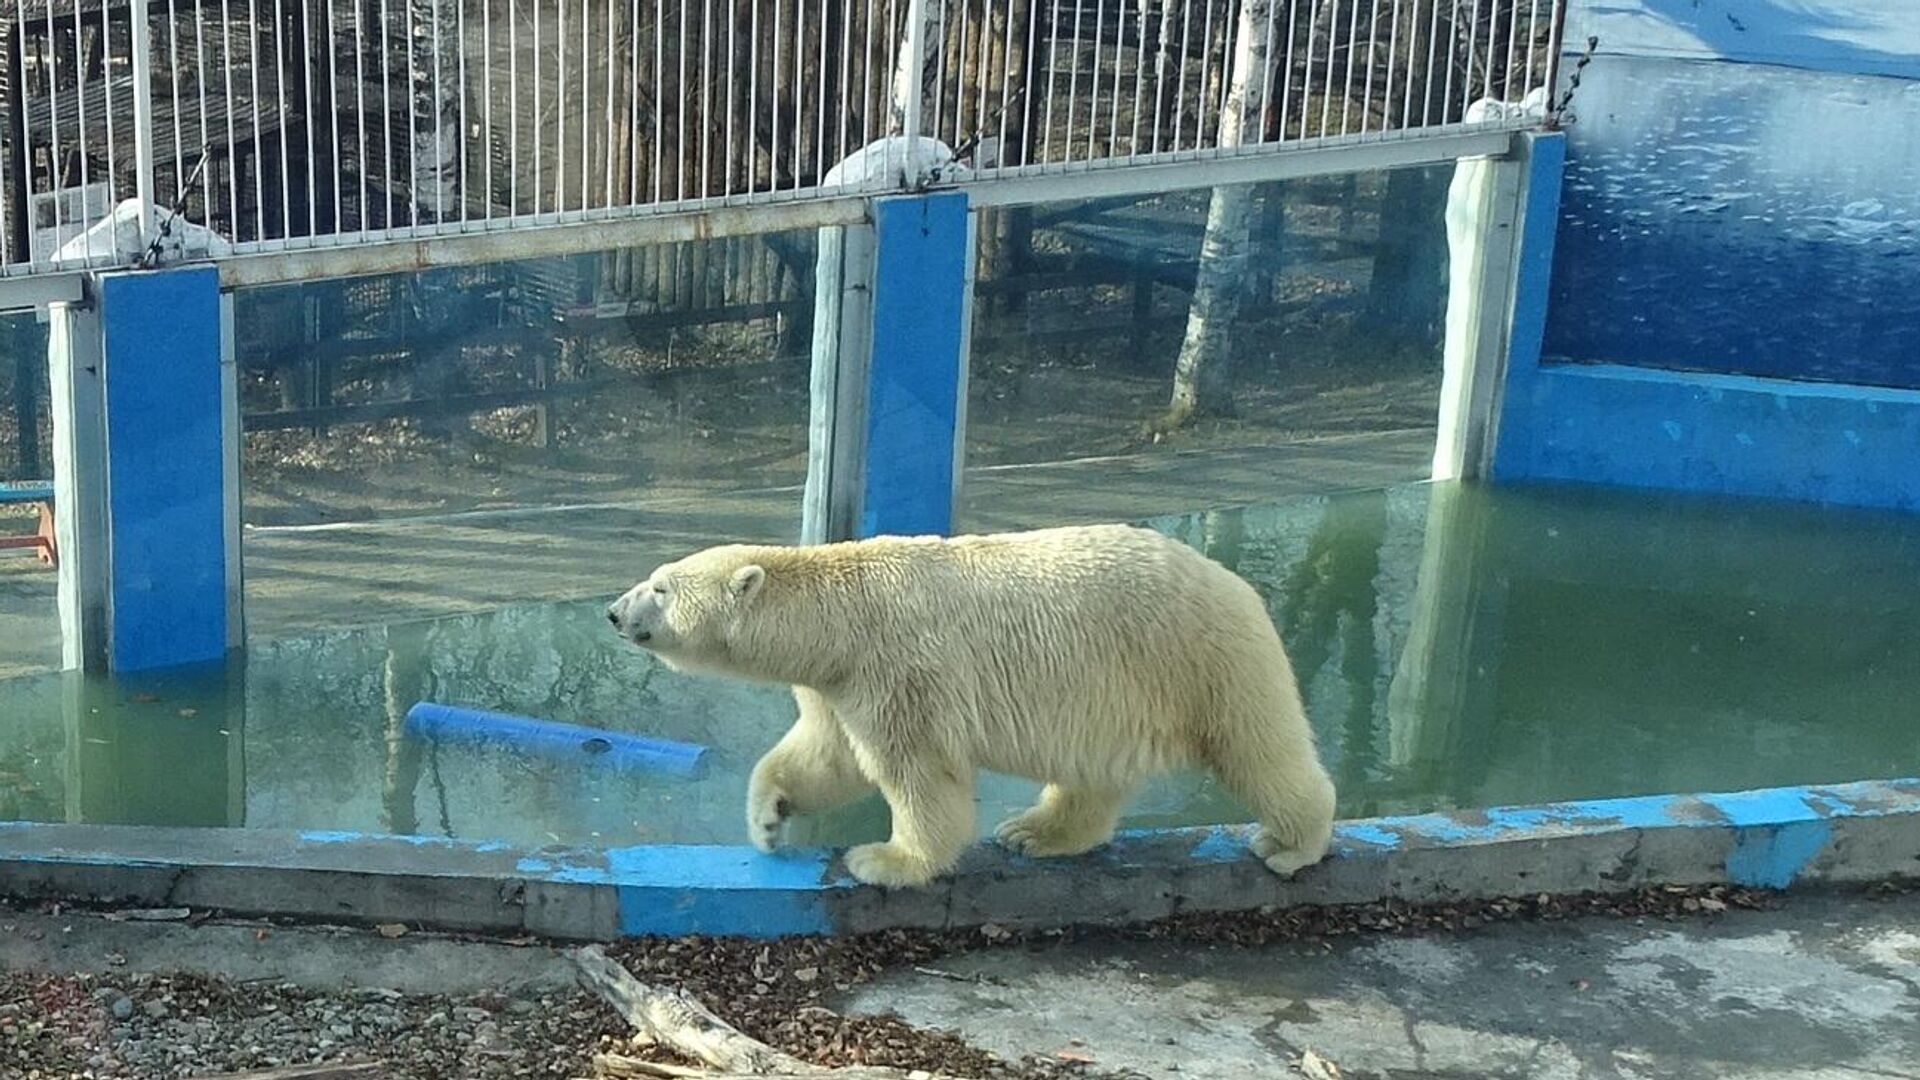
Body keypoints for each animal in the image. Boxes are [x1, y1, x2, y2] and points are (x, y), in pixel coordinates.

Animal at [610, 522, 1336, 883]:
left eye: (661, 587)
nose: (614, 611)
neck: (842, 617)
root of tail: (1236, 584)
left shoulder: (900, 670)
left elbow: (918, 771)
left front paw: (885, 861)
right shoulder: (838, 681)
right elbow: (826, 757)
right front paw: (768, 818)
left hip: (1201, 661)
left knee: (1257, 748)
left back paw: (1289, 845)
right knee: (1090, 776)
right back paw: (1035, 832)